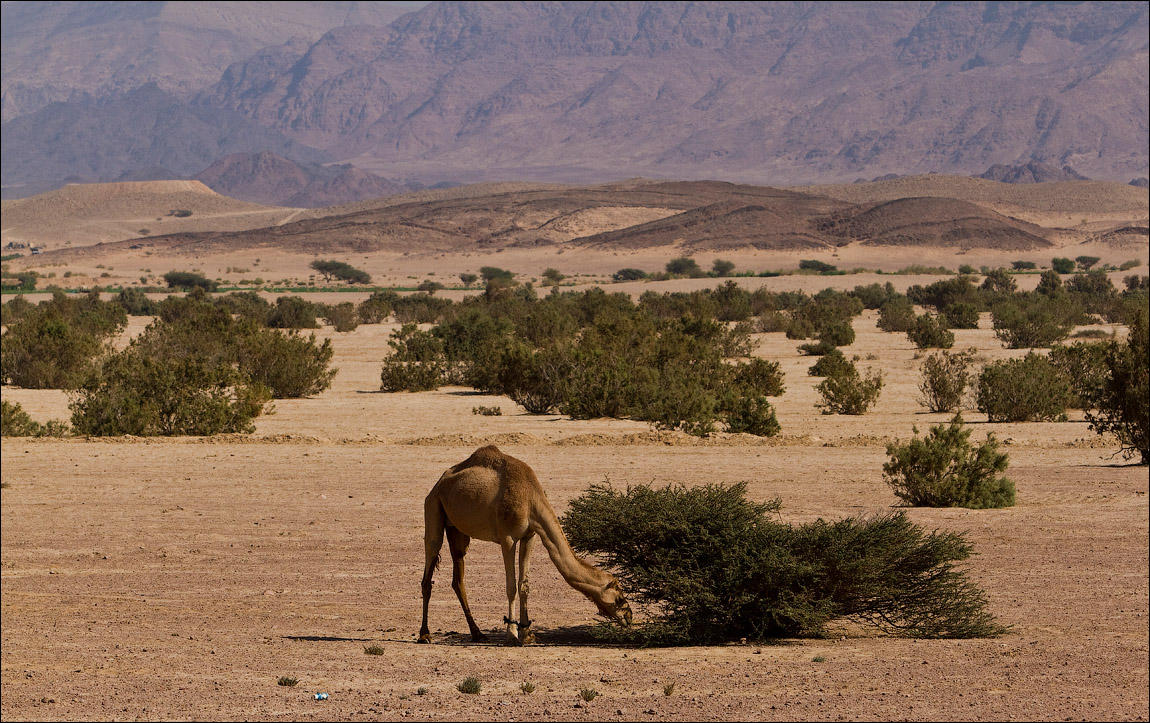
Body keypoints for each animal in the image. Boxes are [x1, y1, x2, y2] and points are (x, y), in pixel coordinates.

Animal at [419, 445, 632, 645]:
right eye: (619, 597)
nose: (629, 616)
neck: (530, 497)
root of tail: (440, 482)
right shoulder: (507, 537)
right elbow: (511, 586)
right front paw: (512, 636)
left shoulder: (530, 536)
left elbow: (524, 585)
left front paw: (527, 634)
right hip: (433, 507)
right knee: (429, 566)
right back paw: (424, 634)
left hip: (457, 529)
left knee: (458, 577)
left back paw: (478, 634)